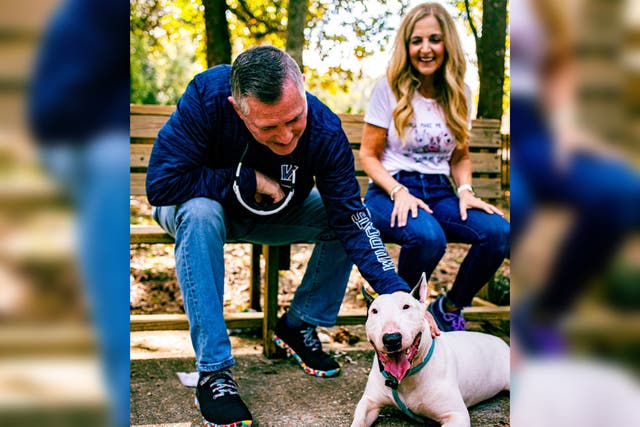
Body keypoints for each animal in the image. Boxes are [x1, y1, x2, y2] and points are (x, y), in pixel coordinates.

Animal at [350, 274, 510, 427]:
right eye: (374, 311)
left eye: (406, 306)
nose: (392, 339)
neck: (405, 379)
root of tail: (502, 341)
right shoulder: (370, 401)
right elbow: (359, 418)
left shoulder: (456, 415)